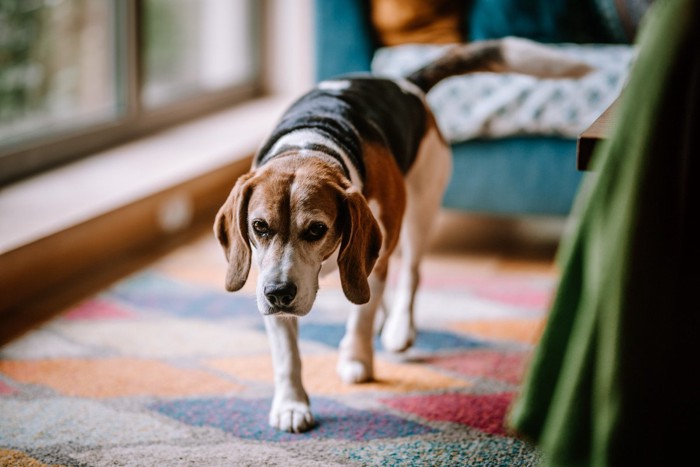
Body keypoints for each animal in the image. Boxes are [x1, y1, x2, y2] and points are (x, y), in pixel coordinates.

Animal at [215, 37, 592, 436]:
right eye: (260, 227)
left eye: (317, 229)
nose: (279, 294)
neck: (311, 144)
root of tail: (404, 82)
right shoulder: (273, 277)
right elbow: (287, 353)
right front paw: (291, 404)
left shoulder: (372, 256)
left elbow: (361, 315)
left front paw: (357, 360)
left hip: (420, 211)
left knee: (410, 274)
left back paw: (397, 328)